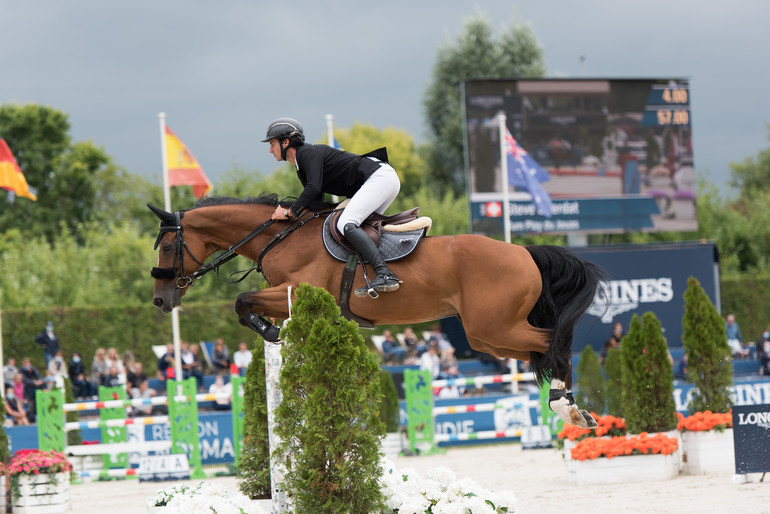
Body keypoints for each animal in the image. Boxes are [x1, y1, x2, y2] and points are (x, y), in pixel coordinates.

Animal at [148, 192, 608, 428]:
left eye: (168, 246)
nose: (160, 300)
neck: (280, 236)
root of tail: (524, 252)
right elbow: (245, 303)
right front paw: (273, 331)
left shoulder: (296, 290)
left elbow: (242, 302)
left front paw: (272, 331)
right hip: (489, 335)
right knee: (541, 349)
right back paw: (569, 405)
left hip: (491, 327)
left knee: (552, 342)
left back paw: (565, 405)